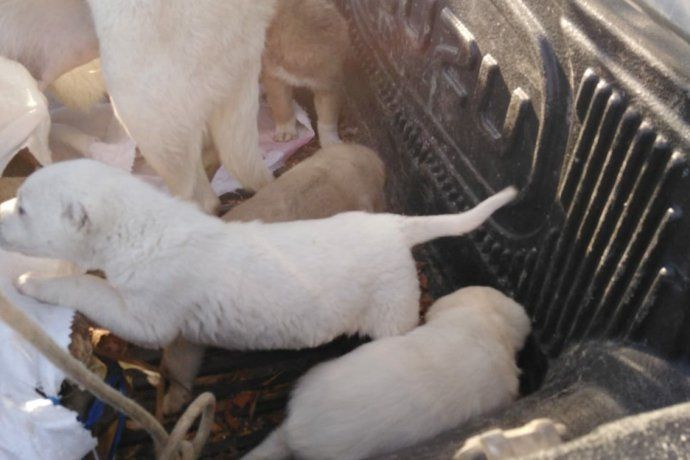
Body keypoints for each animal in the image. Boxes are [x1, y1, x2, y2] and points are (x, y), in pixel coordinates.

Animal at [0, 160, 515, 403]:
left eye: (23, 209)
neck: (141, 227)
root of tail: (395, 227)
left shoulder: (149, 317)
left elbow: (92, 289)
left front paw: (31, 283)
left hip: (391, 310)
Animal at [262, 0, 350, 145]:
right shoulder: (275, 79)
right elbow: (282, 106)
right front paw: (285, 131)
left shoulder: (330, 86)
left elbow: (327, 120)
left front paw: (331, 143)